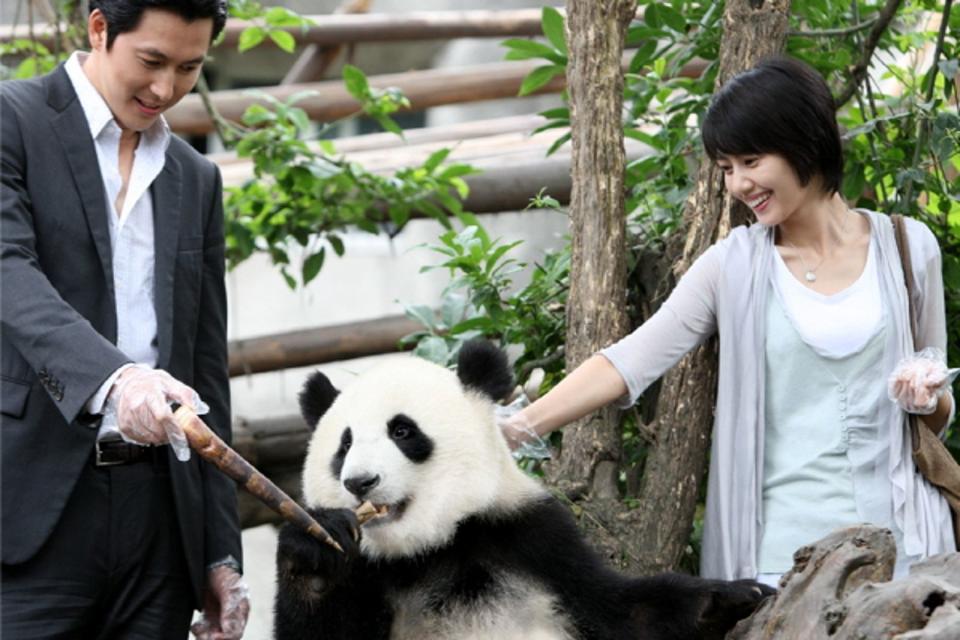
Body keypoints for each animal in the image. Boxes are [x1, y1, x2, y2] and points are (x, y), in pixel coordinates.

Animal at [272, 340, 772, 640]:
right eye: (344, 445)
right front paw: (314, 553)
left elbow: (621, 613)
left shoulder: (532, 538)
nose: (359, 482)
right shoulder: (368, 571)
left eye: (402, 431)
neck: (431, 549)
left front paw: (729, 600)